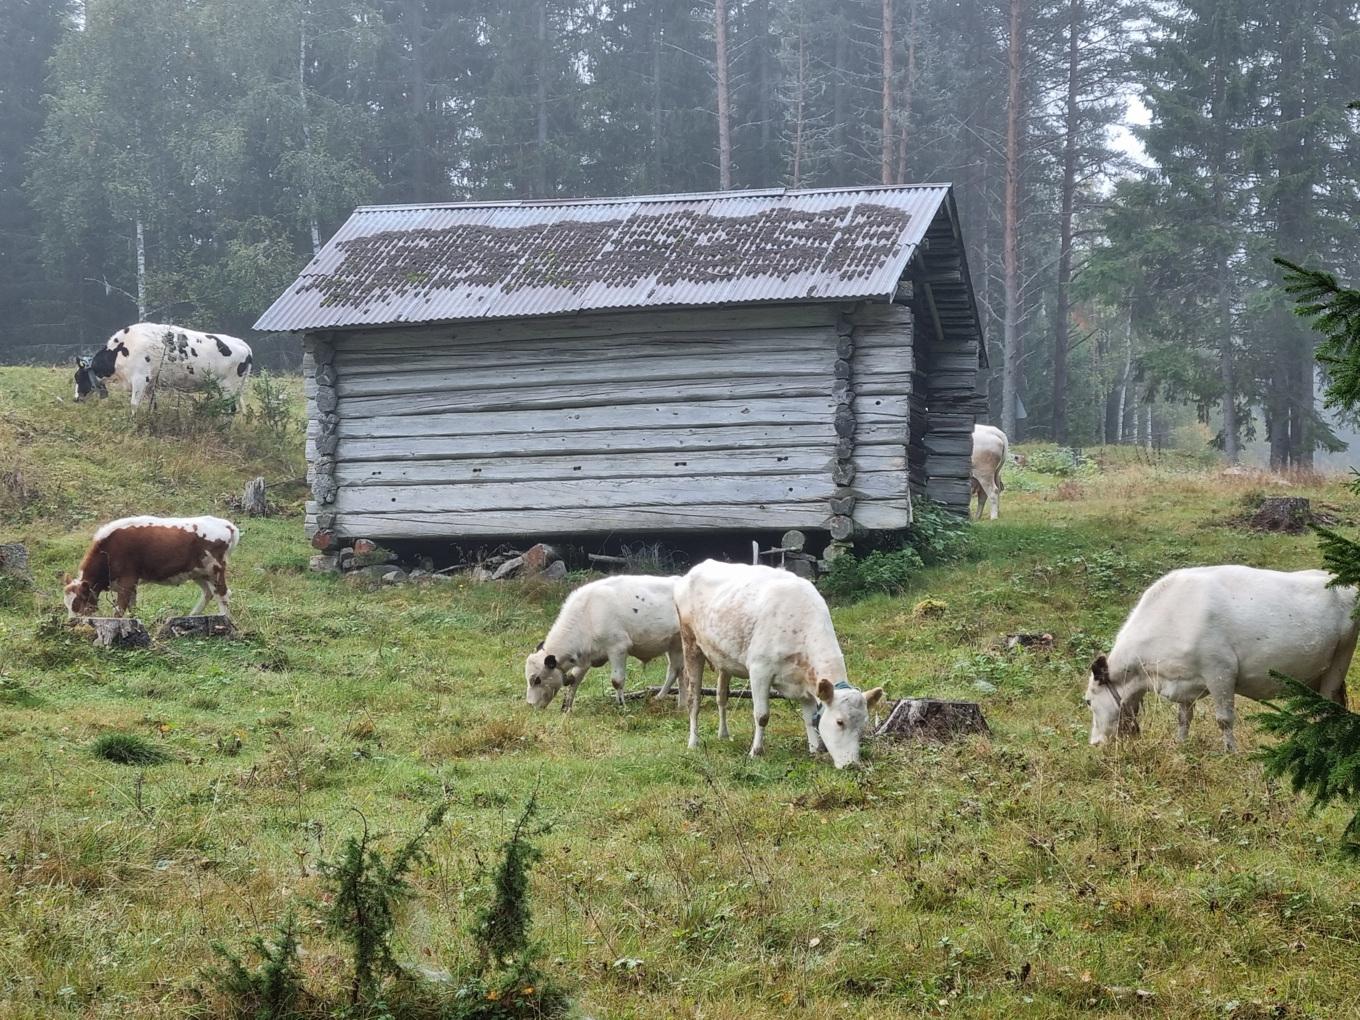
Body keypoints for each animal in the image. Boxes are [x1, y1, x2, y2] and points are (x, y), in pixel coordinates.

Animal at [63, 514, 239, 620]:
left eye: (79, 601)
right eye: (66, 603)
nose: (71, 622)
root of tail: (227, 525)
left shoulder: (127, 580)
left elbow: (120, 609)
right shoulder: (130, 583)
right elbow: (132, 607)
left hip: (214, 569)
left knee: (222, 593)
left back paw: (224, 621)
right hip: (198, 572)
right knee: (209, 593)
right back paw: (191, 616)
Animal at [75, 325, 255, 410]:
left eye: (77, 377)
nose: (75, 399)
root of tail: (243, 344)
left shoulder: (140, 378)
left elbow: (134, 404)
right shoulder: (151, 384)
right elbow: (153, 405)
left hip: (228, 387)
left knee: (230, 410)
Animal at [524, 576, 685, 712]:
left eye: (537, 680)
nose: (530, 705)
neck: (588, 613)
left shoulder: (618, 648)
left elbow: (617, 680)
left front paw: (622, 707)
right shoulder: (585, 656)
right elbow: (574, 679)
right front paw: (566, 708)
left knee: (676, 672)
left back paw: (665, 699)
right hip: (675, 646)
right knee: (678, 671)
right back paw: (678, 704)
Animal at [674, 563, 886, 772]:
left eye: (863, 725)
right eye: (839, 722)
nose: (852, 764)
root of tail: (698, 567)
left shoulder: (805, 682)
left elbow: (809, 718)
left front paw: (814, 750)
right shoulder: (759, 670)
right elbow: (761, 716)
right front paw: (755, 752)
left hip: (724, 658)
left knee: (721, 697)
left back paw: (724, 735)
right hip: (690, 643)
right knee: (694, 699)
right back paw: (693, 742)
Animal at [1082, 568, 1360, 750]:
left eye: (1087, 701)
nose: (1094, 743)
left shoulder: (1220, 672)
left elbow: (1224, 719)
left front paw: (1230, 752)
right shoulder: (1184, 681)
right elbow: (1183, 718)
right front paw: (1180, 746)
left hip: (1340, 661)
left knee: (1330, 706)